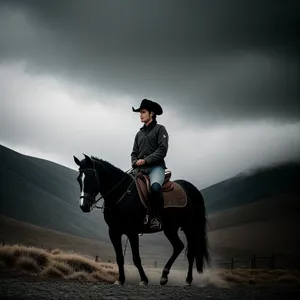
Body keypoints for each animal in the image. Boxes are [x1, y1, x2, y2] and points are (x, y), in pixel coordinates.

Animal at [72, 155, 210, 286]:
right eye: (78, 179)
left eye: (91, 177)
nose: (84, 206)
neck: (122, 193)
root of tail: (193, 189)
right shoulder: (114, 232)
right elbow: (119, 257)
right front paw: (120, 280)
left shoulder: (132, 232)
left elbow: (136, 258)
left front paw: (144, 280)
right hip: (170, 228)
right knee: (178, 247)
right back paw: (164, 276)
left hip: (189, 227)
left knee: (190, 253)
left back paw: (187, 280)